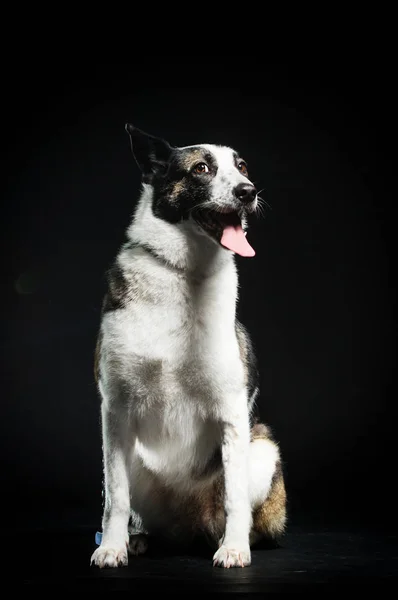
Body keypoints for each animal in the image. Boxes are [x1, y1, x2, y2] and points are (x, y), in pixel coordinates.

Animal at [90, 125, 286, 568]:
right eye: (200, 169)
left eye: (242, 166)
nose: (248, 191)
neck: (183, 274)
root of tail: (185, 530)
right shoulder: (115, 412)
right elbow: (116, 499)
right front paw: (112, 547)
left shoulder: (232, 414)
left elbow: (234, 500)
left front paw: (234, 549)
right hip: (135, 459)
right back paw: (138, 538)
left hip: (262, 449)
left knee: (240, 511)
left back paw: (233, 539)